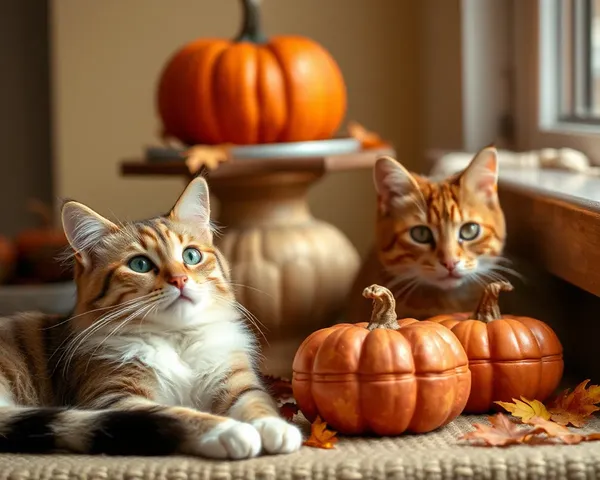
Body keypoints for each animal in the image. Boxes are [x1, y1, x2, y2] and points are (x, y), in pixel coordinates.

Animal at [0, 175, 302, 458]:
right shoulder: (113, 397)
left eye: (191, 256)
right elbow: (177, 414)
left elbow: (256, 401)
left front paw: (276, 428)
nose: (180, 280)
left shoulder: (234, 376)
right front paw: (228, 430)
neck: (177, 339)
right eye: (140, 264)